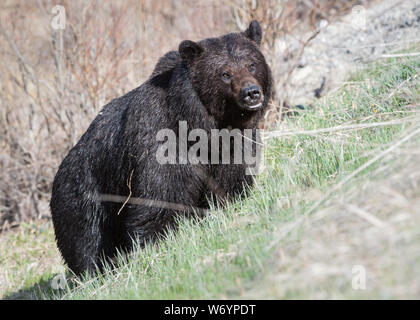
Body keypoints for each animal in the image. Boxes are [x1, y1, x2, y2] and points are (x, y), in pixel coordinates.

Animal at [50, 20, 272, 276]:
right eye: (225, 73)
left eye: (252, 65)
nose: (251, 93)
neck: (203, 127)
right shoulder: (163, 146)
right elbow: (159, 200)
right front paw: (156, 245)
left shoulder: (235, 145)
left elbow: (230, 183)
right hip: (83, 196)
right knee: (87, 241)